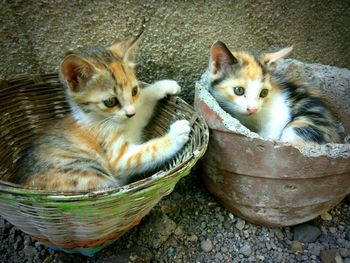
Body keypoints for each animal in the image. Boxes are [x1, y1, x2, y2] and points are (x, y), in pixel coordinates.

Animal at [14, 34, 191, 193]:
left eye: (134, 91)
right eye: (110, 102)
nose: (130, 113)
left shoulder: (134, 119)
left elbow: (142, 105)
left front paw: (164, 86)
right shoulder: (118, 158)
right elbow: (147, 151)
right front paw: (176, 133)